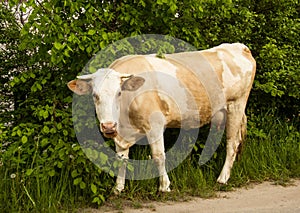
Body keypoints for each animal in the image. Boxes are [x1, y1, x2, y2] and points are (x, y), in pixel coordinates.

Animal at [67, 42, 255, 194]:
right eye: (95, 95)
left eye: (119, 93)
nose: (108, 126)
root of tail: (238, 46)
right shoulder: (121, 132)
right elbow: (121, 158)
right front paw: (118, 188)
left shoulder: (155, 125)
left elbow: (158, 156)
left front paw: (164, 186)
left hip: (236, 104)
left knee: (232, 142)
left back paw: (223, 178)